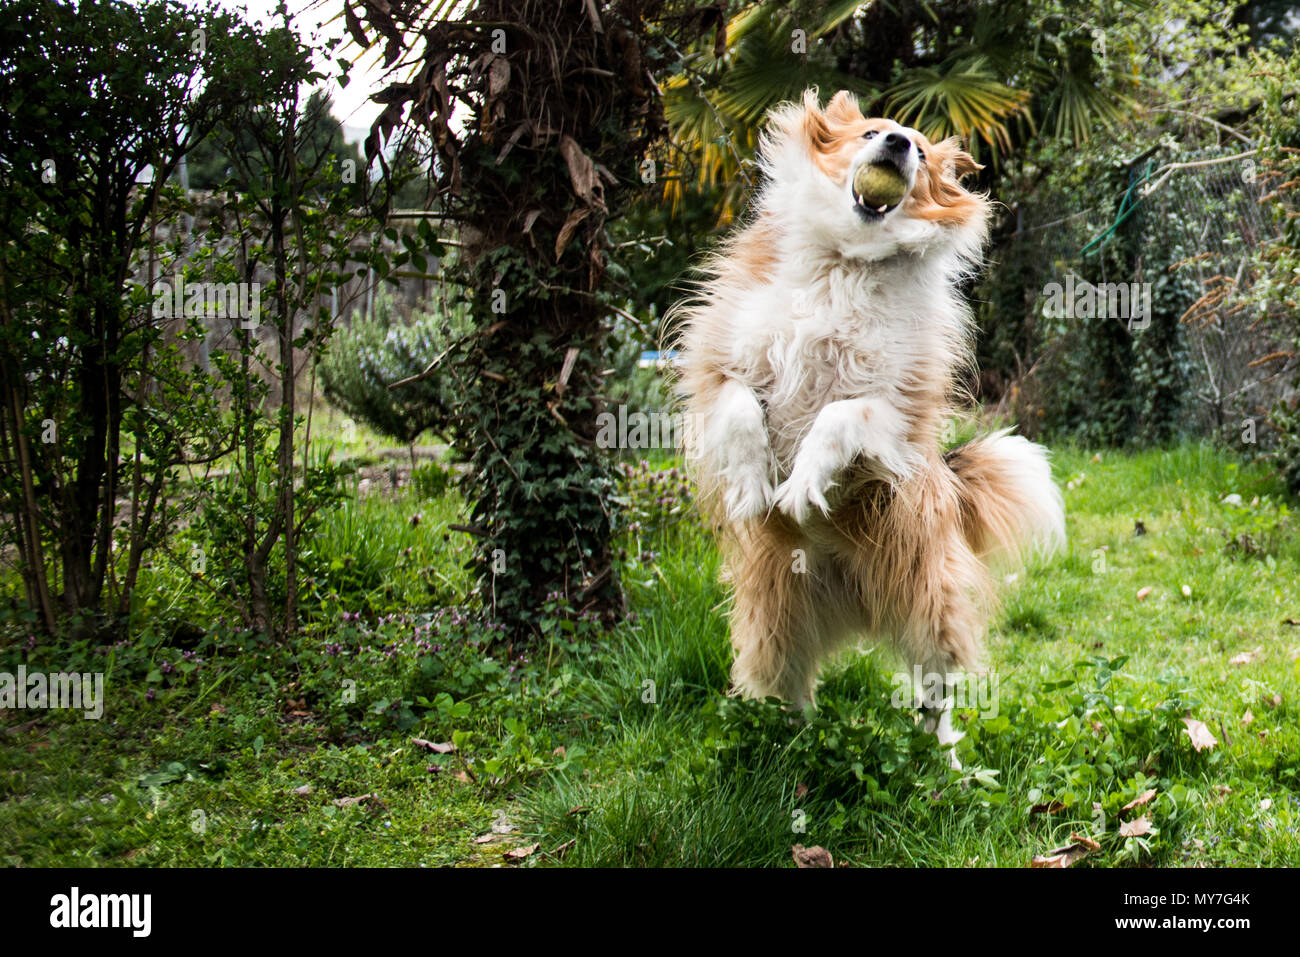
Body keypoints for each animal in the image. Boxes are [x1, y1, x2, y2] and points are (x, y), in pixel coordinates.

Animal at [670, 87, 1066, 764]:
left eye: (924, 152)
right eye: (870, 132)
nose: (900, 143)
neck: (848, 260)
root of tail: (854, 611)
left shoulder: (899, 407)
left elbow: (839, 413)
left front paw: (804, 484)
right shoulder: (720, 366)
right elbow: (744, 407)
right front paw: (752, 483)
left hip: (926, 602)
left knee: (935, 698)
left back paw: (946, 767)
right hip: (773, 624)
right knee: (789, 689)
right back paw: (787, 751)